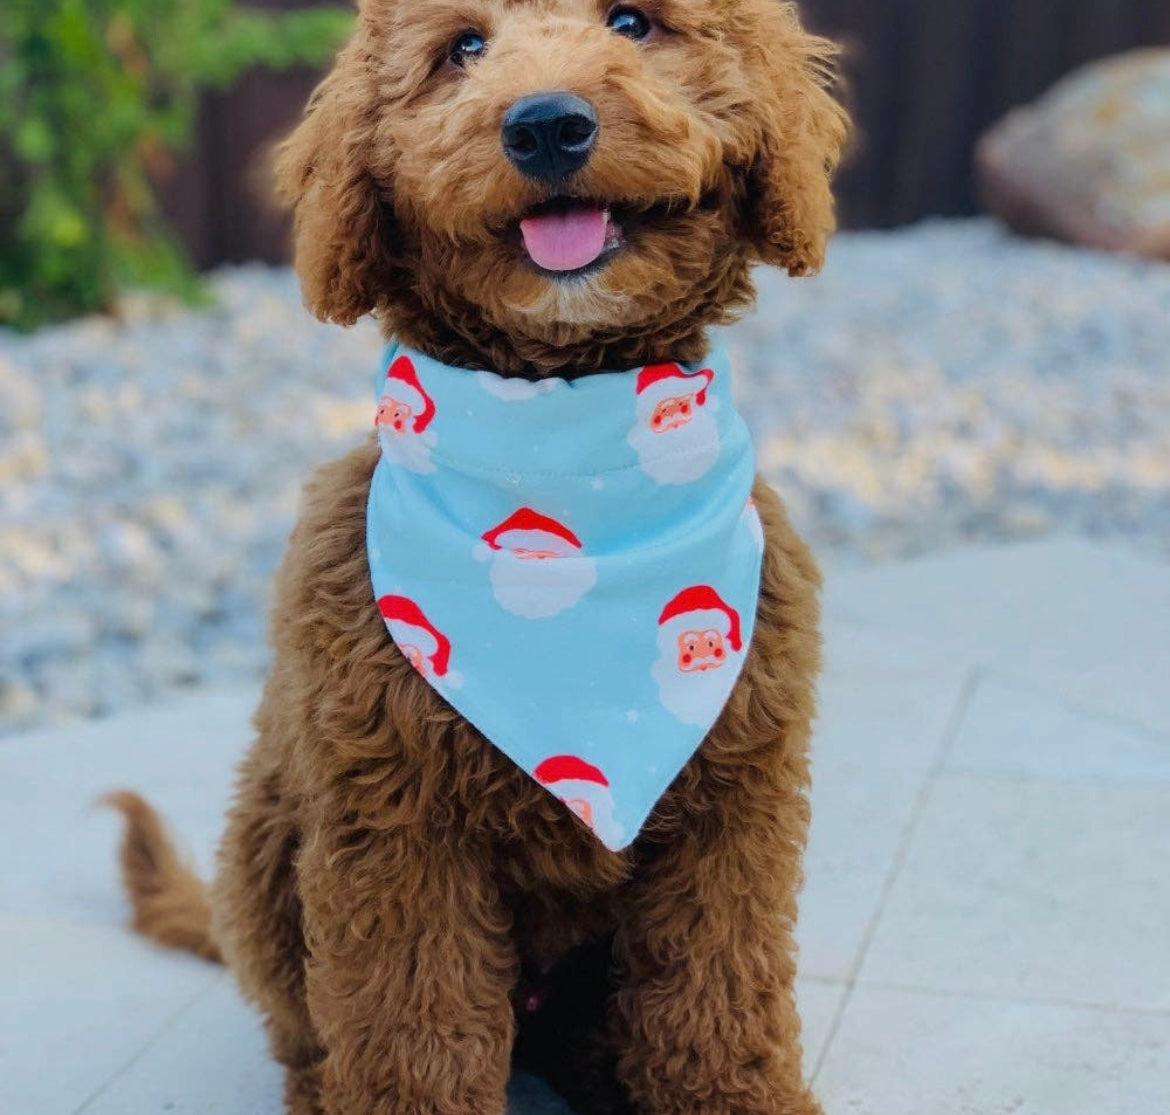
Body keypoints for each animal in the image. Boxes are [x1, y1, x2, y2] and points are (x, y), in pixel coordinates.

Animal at [105, 4, 847, 1109]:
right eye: (462, 48)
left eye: (634, 22)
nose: (546, 126)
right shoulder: (396, 826)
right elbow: (412, 1028)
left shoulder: (733, 801)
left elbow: (717, 1005)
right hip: (269, 843)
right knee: (305, 1030)